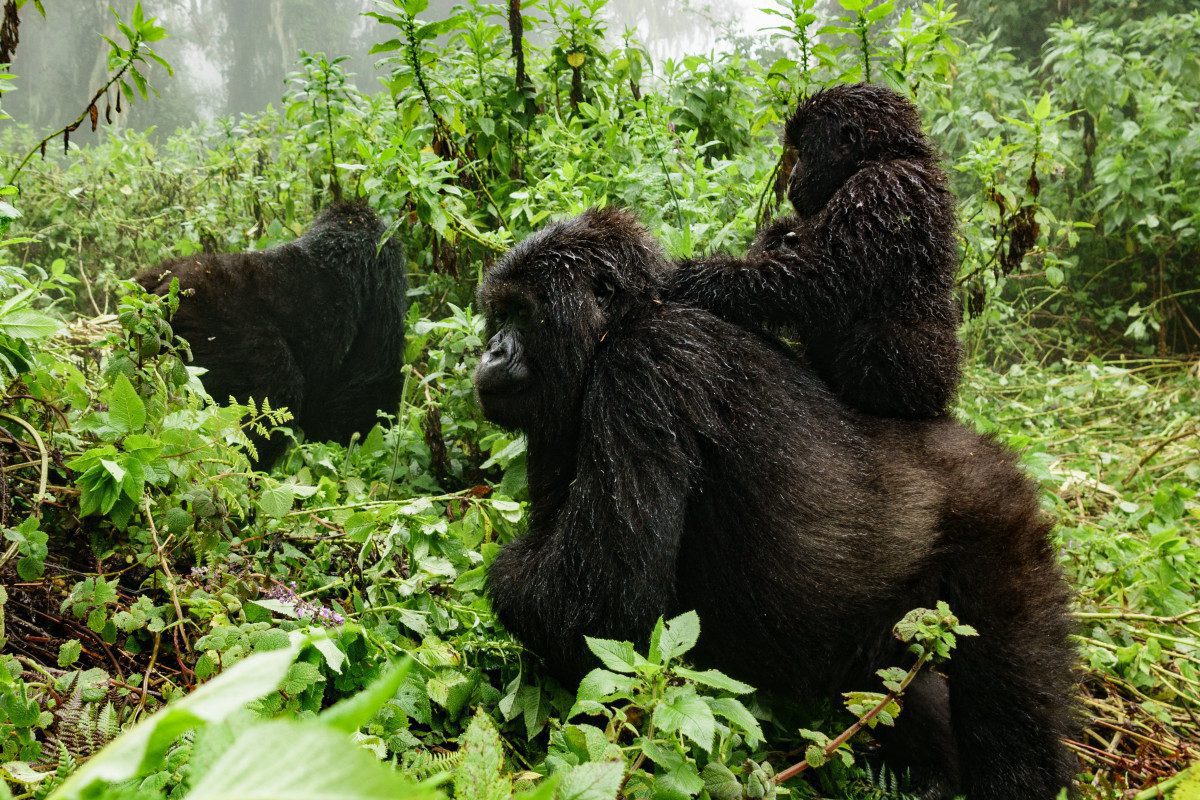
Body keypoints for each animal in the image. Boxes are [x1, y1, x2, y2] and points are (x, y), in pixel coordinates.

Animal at [477, 208, 1080, 800]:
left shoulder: (642, 368)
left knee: (1010, 680)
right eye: (498, 314)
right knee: (893, 680)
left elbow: (596, 606)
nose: (490, 352)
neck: (620, 323)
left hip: (997, 516)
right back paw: (933, 772)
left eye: (521, 313)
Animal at [672, 81, 960, 419]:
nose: (793, 176)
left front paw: (701, 278)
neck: (881, 156)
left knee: (879, 335)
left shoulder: (880, 188)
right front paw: (776, 236)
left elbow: (820, 280)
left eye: (805, 153)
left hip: (932, 379)